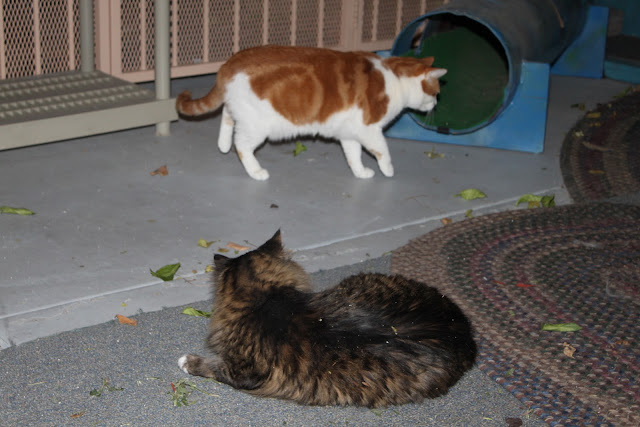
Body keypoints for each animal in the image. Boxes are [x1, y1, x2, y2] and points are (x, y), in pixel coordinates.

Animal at [176, 45, 446, 180]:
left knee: (226, 117)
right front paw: (388, 170)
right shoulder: (370, 130)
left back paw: (222, 145)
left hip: (241, 111)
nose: (436, 104)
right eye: (435, 92)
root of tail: (230, 63)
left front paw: (360, 172)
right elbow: (383, 151)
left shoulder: (350, 132)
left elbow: (354, 155)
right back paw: (256, 171)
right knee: (241, 145)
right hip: (258, 127)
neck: (394, 78)